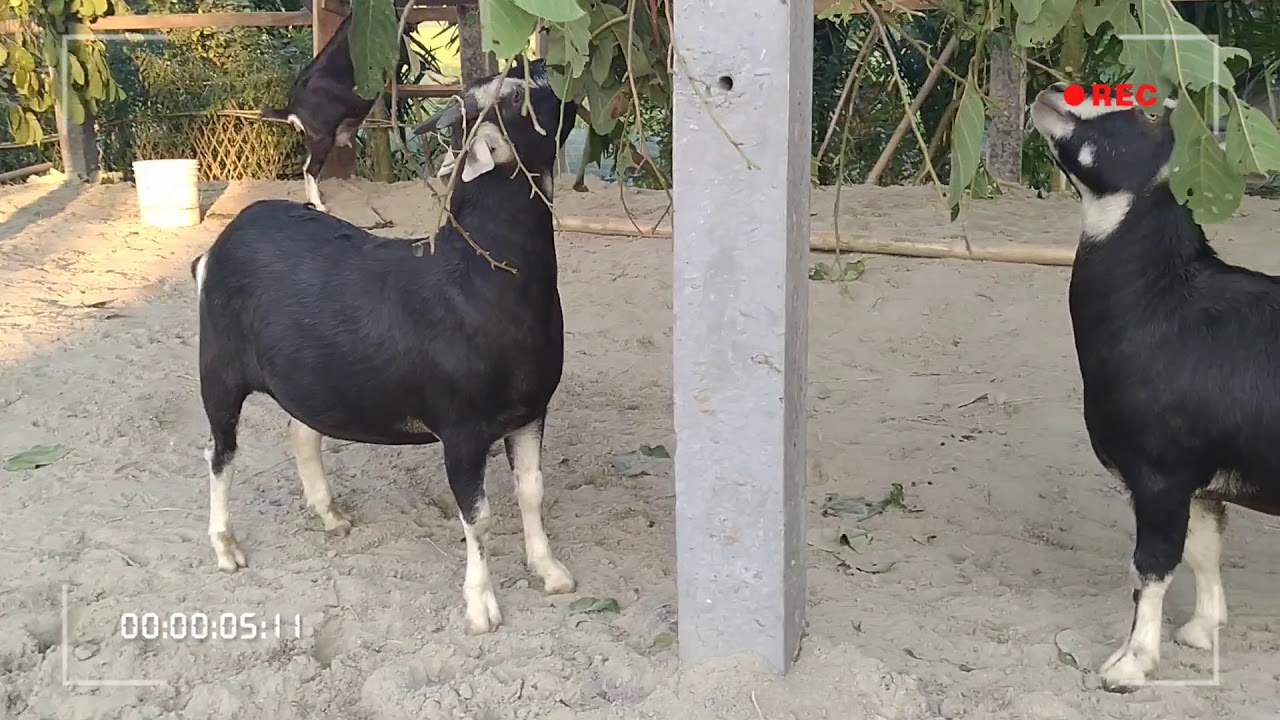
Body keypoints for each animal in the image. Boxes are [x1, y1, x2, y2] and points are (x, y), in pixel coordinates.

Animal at [192, 58, 579, 634]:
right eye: (516, 100)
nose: (538, 64)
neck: (481, 277)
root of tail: (216, 247)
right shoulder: (461, 430)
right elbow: (479, 518)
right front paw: (481, 606)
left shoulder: (531, 412)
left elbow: (532, 491)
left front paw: (550, 571)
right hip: (218, 370)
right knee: (220, 453)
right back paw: (225, 546)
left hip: (310, 377)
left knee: (301, 431)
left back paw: (329, 514)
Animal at [1029, 82, 1280, 692]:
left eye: (1146, 109)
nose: (1054, 91)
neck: (1164, 303)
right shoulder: (1203, 481)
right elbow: (1204, 550)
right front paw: (1202, 630)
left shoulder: (1161, 472)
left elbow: (1153, 564)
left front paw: (1131, 663)